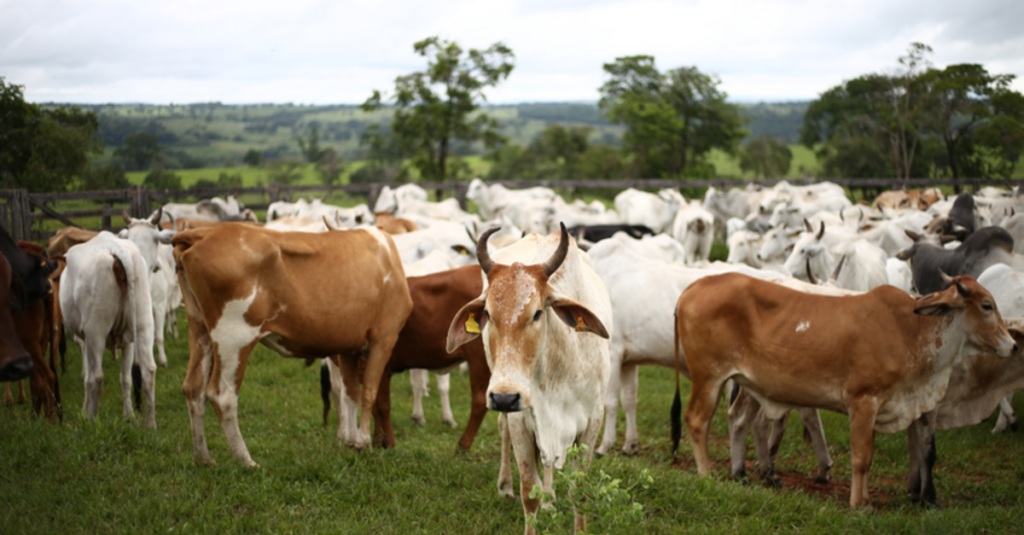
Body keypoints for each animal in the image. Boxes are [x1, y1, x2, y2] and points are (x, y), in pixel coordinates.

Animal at [61, 230, 157, 426]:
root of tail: (116, 248)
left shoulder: (86, 339)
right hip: (143, 324)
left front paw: (85, 412)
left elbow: (88, 377)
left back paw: (92, 421)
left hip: (96, 332)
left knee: (97, 377)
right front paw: (129, 415)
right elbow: (126, 378)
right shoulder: (128, 343)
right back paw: (150, 425)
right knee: (148, 371)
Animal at [172, 220, 411, 461]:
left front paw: (352, 443)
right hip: (233, 337)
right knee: (223, 395)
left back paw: (203, 459)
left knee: (193, 388)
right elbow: (369, 392)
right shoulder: (385, 337)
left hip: (199, 329)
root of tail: (207, 232)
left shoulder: (349, 346)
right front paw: (365, 444)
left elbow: (351, 393)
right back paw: (245, 460)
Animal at [671, 272, 1015, 506]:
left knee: (734, 420)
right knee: (697, 420)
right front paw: (858, 505)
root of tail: (692, 288)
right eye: (987, 306)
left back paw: (738, 474)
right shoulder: (863, 400)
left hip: (740, 382)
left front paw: (866, 499)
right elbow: (861, 457)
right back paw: (706, 474)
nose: (1012, 345)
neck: (912, 331)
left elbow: (872, 456)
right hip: (708, 378)